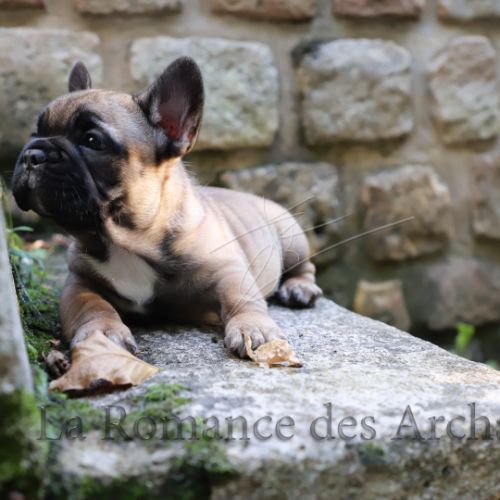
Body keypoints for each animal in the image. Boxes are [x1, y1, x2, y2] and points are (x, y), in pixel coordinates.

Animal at [12, 57, 322, 358]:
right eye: (35, 132)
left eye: (92, 141)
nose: (32, 154)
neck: (130, 238)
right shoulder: (79, 282)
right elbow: (91, 305)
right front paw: (102, 334)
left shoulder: (228, 270)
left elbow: (241, 297)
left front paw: (254, 328)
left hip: (291, 238)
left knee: (304, 266)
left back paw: (299, 288)